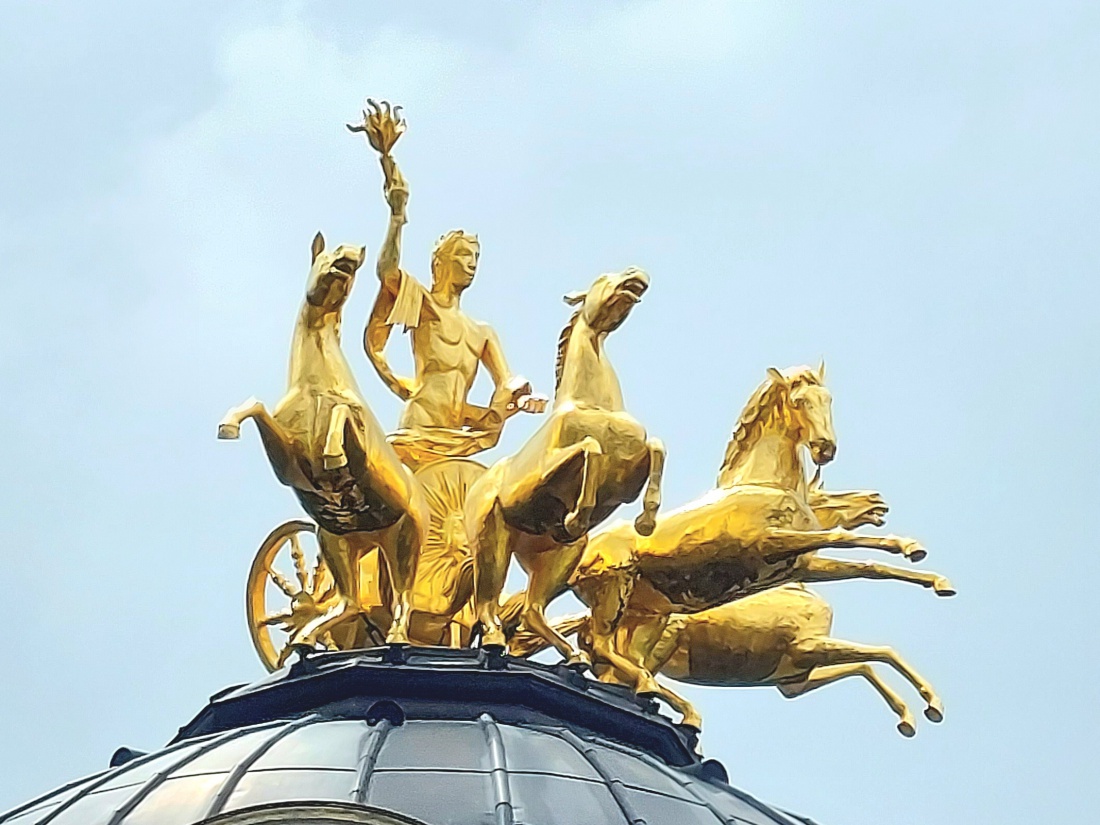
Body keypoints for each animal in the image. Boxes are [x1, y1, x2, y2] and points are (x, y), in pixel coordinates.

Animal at [216, 229, 426, 655]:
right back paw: (306, 636)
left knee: (403, 597)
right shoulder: (288, 465)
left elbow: (343, 414)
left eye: (354, 272)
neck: (313, 383)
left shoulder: (359, 441)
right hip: (338, 542)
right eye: (326, 256)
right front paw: (228, 425)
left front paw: (333, 457)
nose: (349, 257)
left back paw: (395, 637)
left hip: (405, 540)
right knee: (351, 601)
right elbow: (255, 405)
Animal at [462, 269, 660, 664]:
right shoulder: (543, 474)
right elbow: (590, 448)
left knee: (531, 611)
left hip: (561, 556)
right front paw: (576, 516)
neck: (592, 402)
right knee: (485, 603)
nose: (635, 274)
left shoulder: (632, 472)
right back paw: (495, 640)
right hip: (492, 539)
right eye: (602, 278)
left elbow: (657, 447)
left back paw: (574, 656)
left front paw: (647, 521)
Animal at [554, 365, 950, 726]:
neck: (763, 484)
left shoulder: (800, 588)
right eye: (800, 401)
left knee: (613, 658)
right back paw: (663, 697)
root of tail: (581, 554)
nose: (826, 448)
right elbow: (843, 541)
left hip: (647, 617)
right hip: (616, 594)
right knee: (605, 648)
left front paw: (934, 578)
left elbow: (871, 574)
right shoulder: (772, 552)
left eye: (828, 399)